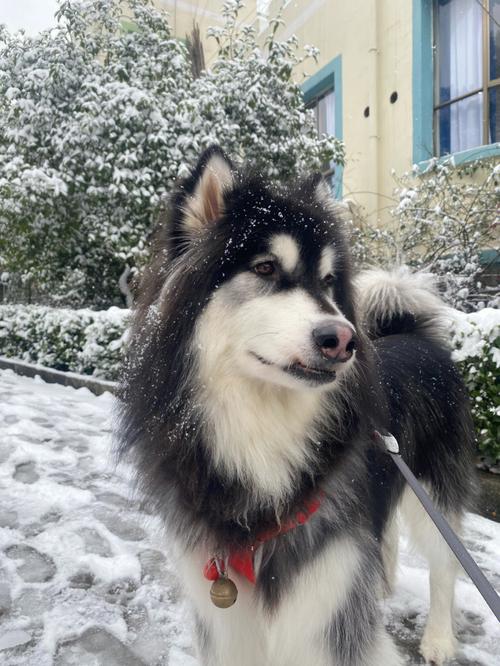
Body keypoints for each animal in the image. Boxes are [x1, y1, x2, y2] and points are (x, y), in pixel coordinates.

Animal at [118, 147, 476, 664]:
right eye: (266, 268)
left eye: (327, 282)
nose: (343, 340)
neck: (261, 430)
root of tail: (410, 333)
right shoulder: (226, 613)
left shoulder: (326, 599)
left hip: (431, 488)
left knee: (444, 564)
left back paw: (439, 638)